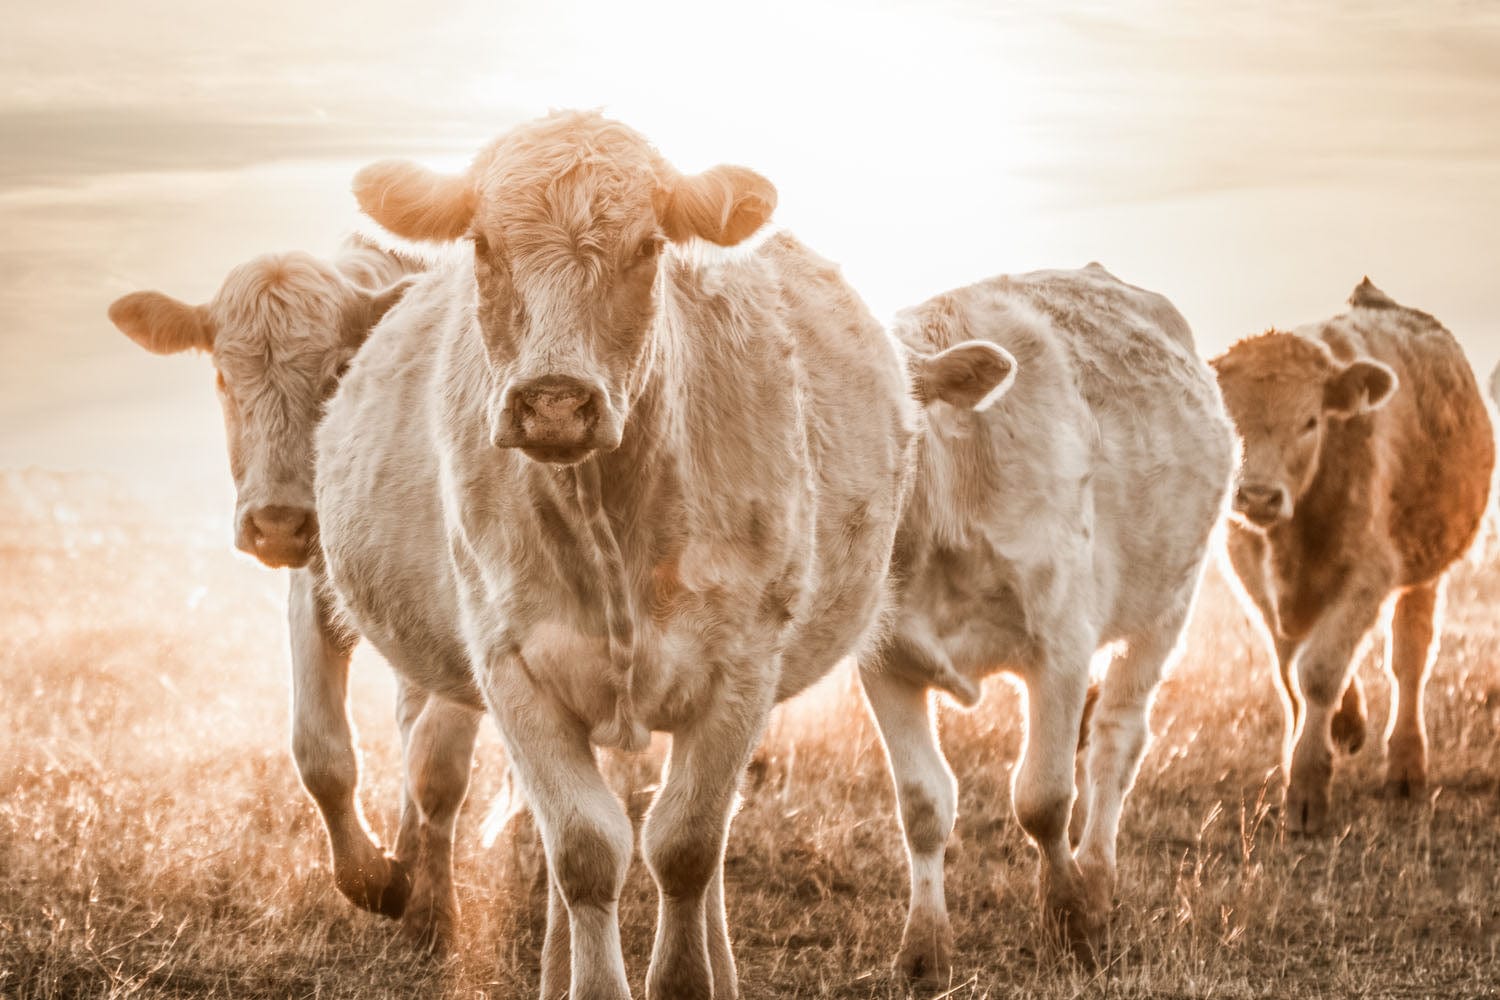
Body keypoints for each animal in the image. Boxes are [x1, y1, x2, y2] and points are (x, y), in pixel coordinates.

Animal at [105, 237, 485, 946]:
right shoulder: (312, 590)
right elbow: (321, 752)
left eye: (340, 373)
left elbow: (438, 766)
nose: (278, 521)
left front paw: (432, 916)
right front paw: (377, 880)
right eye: (223, 377)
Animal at [315, 109, 1012, 999]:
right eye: (482, 243)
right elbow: (583, 852)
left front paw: (687, 977)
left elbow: (685, 846)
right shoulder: (513, 668)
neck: (605, 520)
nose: (554, 403)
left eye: (648, 246)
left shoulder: (741, 669)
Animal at [862, 264, 1234, 972]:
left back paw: (1098, 876)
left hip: (1170, 603)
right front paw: (925, 946)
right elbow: (922, 803)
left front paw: (1071, 916)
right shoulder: (884, 660)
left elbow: (1044, 798)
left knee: (1116, 739)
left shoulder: (1061, 644)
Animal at [1212, 279, 1494, 835]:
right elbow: (1290, 669)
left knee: (1409, 661)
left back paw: (1405, 767)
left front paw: (1306, 789)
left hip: (1422, 568)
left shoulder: (1369, 573)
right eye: (1229, 423)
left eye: (1310, 421)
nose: (1258, 497)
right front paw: (1333, 728)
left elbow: (1318, 671)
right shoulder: (1251, 574)